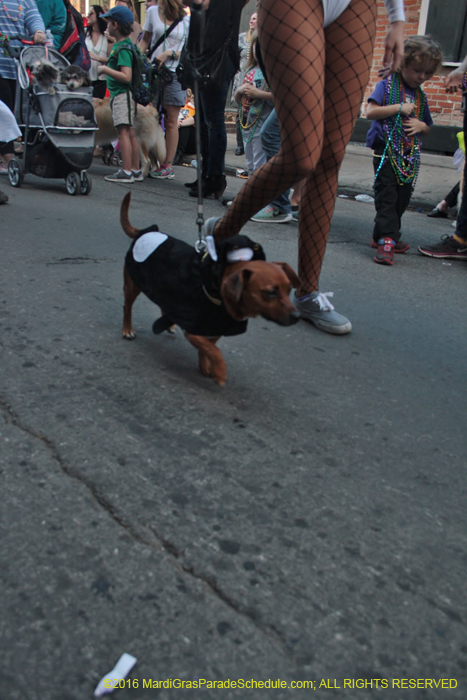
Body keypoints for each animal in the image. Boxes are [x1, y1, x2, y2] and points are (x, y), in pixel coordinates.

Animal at [120, 191, 302, 386]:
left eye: (289, 290)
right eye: (271, 293)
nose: (297, 316)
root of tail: (145, 232)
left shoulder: (215, 328)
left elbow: (208, 348)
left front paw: (206, 366)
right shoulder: (194, 331)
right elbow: (214, 350)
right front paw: (220, 371)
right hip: (133, 285)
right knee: (127, 307)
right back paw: (127, 329)